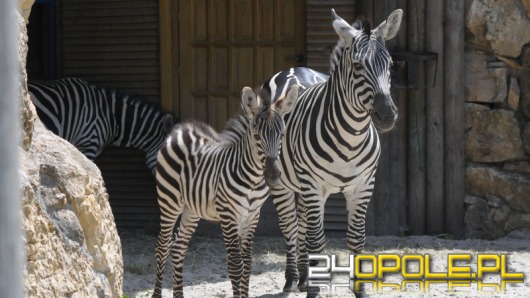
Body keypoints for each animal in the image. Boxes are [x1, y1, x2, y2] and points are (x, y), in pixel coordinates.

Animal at [153, 85, 296, 296]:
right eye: (257, 136)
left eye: (282, 135)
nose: (272, 175)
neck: (253, 180)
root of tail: (180, 130)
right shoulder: (229, 215)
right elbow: (236, 265)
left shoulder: (252, 216)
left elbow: (248, 263)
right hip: (169, 201)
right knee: (162, 248)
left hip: (192, 208)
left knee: (178, 247)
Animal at [260, 8, 400, 294]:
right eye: (357, 66)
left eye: (390, 65)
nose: (387, 116)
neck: (351, 138)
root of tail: (293, 68)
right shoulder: (314, 185)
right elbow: (317, 240)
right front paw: (314, 290)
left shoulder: (364, 185)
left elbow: (356, 239)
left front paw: (360, 290)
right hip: (281, 181)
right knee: (291, 228)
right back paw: (292, 280)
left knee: (302, 227)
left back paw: (304, 277)